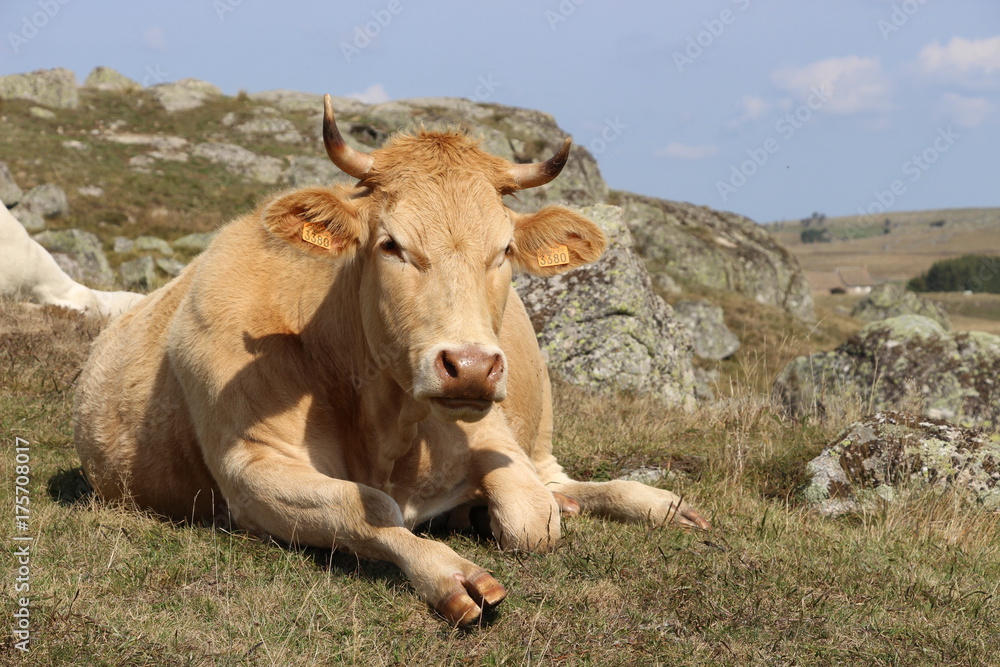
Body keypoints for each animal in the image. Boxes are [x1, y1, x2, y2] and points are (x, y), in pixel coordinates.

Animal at [74, 94, 708, 628]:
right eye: (391, 245)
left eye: (504, 249)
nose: (470, 365)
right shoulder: (250, 466)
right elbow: (371, 508)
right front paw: (452, 571)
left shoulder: (491, 433)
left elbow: (532, 518)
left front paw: (485, 515)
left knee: (557, 481)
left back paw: (662, 505)